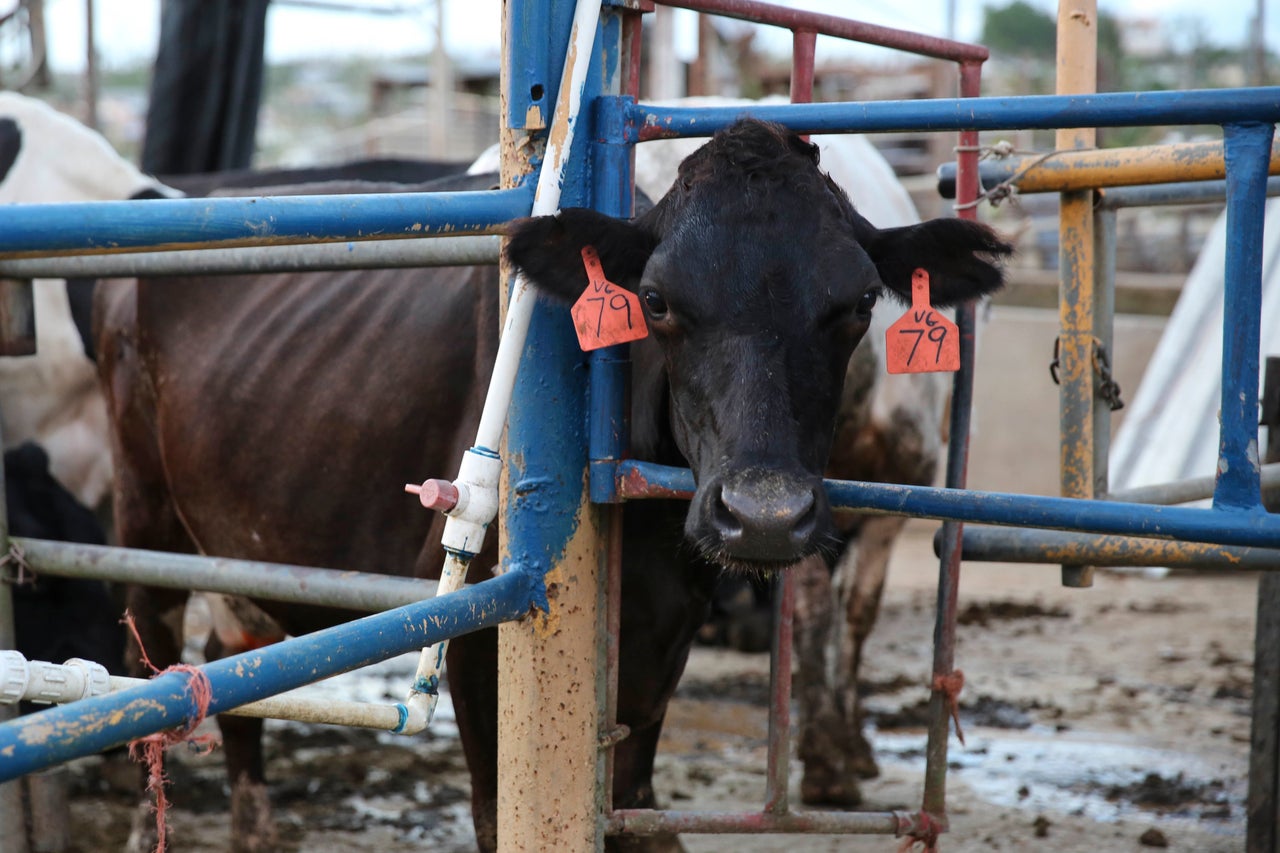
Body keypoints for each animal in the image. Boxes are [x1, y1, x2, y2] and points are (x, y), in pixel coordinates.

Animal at [97, 119, 1008, 850]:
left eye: (858, 302)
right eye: (656, 300)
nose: (765, 516)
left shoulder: (666, 628)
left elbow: (636, 796)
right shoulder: (473, 626)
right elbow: (499, 813)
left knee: (235, 651)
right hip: (144, 511)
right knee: (153, 662)